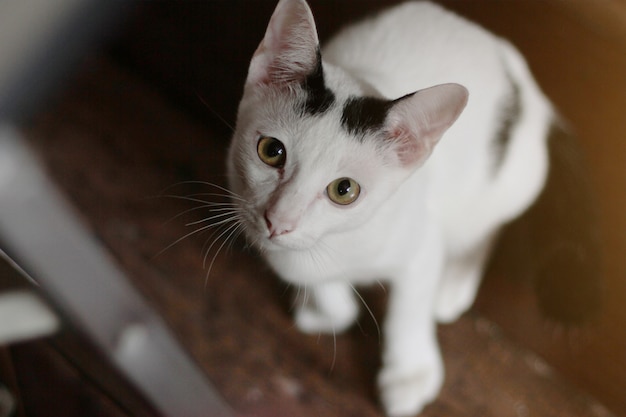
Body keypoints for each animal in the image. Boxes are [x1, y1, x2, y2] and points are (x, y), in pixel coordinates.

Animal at [225, 1, 552, 414]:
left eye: (344, 190)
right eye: (271, 151)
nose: (278, 221)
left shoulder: (422, 243)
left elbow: (409, 310)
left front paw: (410, 374)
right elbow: (318, 282)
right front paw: (324, 309)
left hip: (513, 183)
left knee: (487, 227)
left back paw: (454, 284)